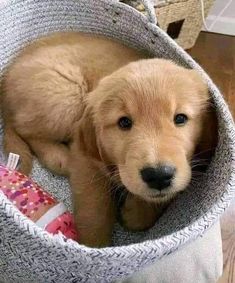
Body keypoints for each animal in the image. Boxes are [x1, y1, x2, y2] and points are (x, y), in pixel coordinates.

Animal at [0, 32, 217, 247]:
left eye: (180, 118)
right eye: (124, 122)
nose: (158, 176)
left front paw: (137, 212)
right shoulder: (85, 158)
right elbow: (94, 210)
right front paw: (92, 247)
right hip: (66, 93)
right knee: (23, 128)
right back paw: (60, 158)